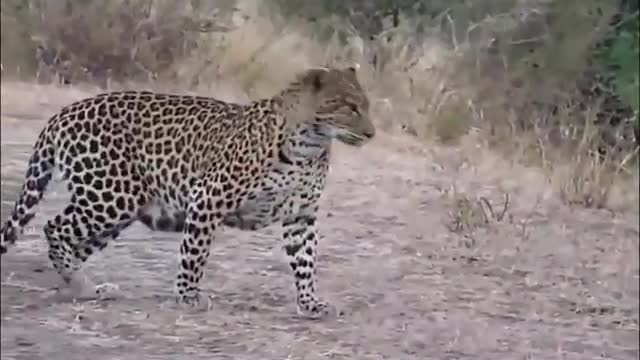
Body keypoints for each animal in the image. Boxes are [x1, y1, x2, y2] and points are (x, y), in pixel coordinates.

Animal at [1, 65, 376, 318]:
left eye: (366, 105)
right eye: (350, 106)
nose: (372, 133)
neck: (309, 144)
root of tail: (63, 113)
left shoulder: (301, 215)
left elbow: (306, 261)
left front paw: (310, 303)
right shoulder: (208, 198)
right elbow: (195, 253)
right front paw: (189, 295)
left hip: (118, 206)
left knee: (74, 243)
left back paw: (87, 288)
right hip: (110, 196)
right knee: (55, 228)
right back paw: (81, 285)